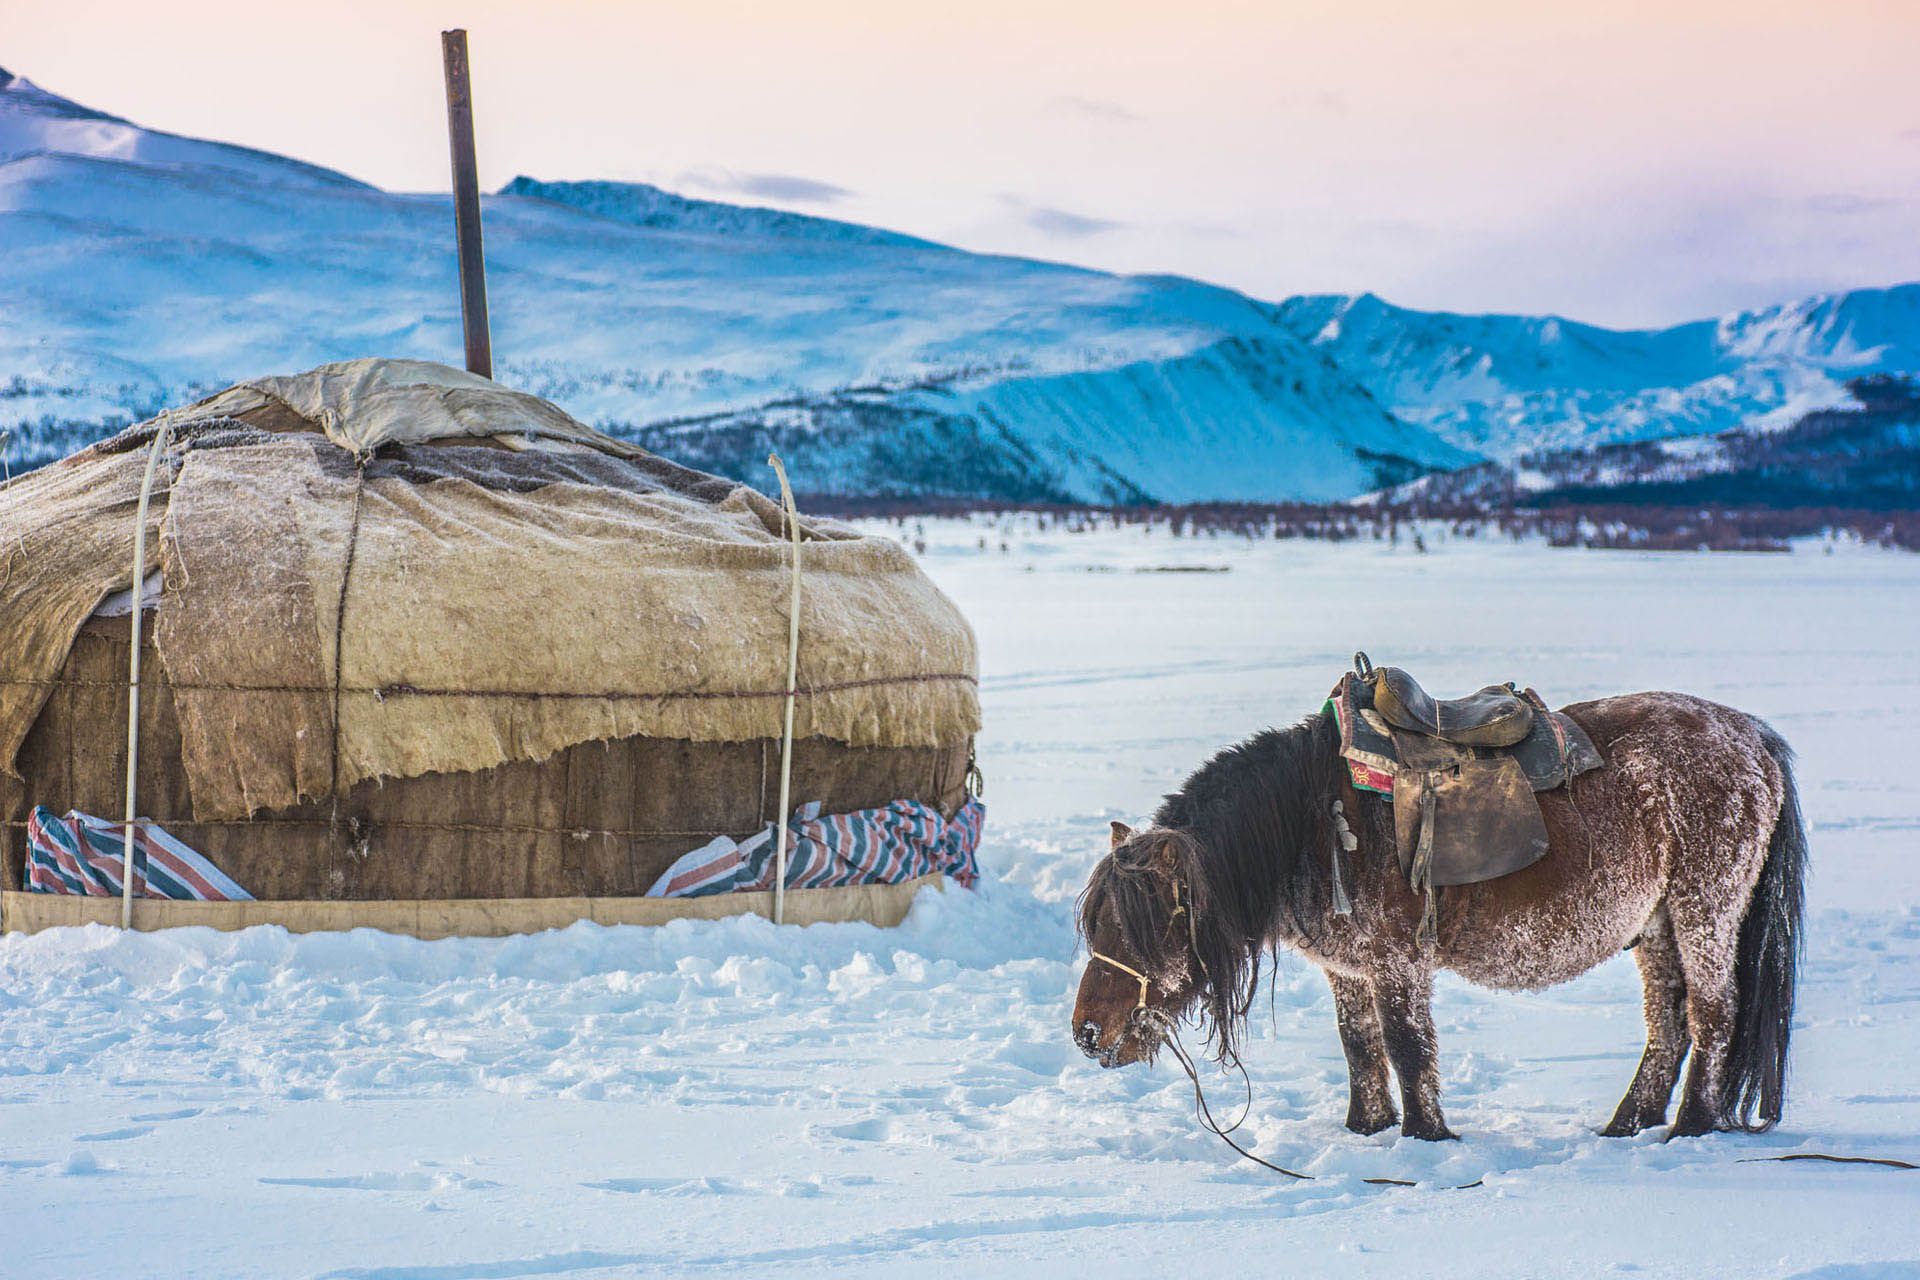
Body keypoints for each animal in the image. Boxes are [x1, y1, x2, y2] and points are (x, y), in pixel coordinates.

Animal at [1075, 690, 1804, 1143]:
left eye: (1139, 930)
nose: (1085, 1033)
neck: (1310, 823)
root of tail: (1752, 738)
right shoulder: (1349, 968)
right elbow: (1360, 1045)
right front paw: (1366, 1129)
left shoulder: (1397, 961)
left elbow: (1406, 1045)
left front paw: (1426, 1136)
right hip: (1656, 925)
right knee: (1668, 1025)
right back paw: (1627, 1126)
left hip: (1704, 908)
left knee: (1713, 1015)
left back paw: (1690, 1127)